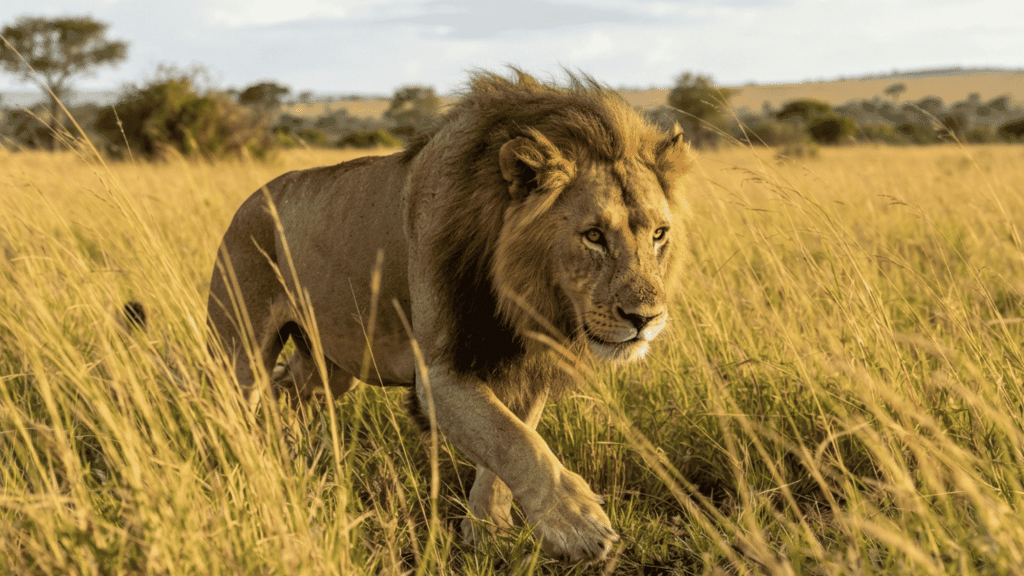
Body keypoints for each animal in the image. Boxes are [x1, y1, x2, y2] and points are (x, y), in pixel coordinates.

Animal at [206, 70, 692, 562]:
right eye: (593, 235)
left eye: (659, 234)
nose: (645, 318)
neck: (525, 300)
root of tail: (247, 202)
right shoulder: (436, 376)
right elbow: (515, 441)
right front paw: (578, 523)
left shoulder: (530, 366)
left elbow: (512, 439)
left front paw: (487, 529)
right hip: (241, 352)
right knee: (233, 406)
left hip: (331, 366)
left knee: (286, 390)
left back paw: (289, 453)